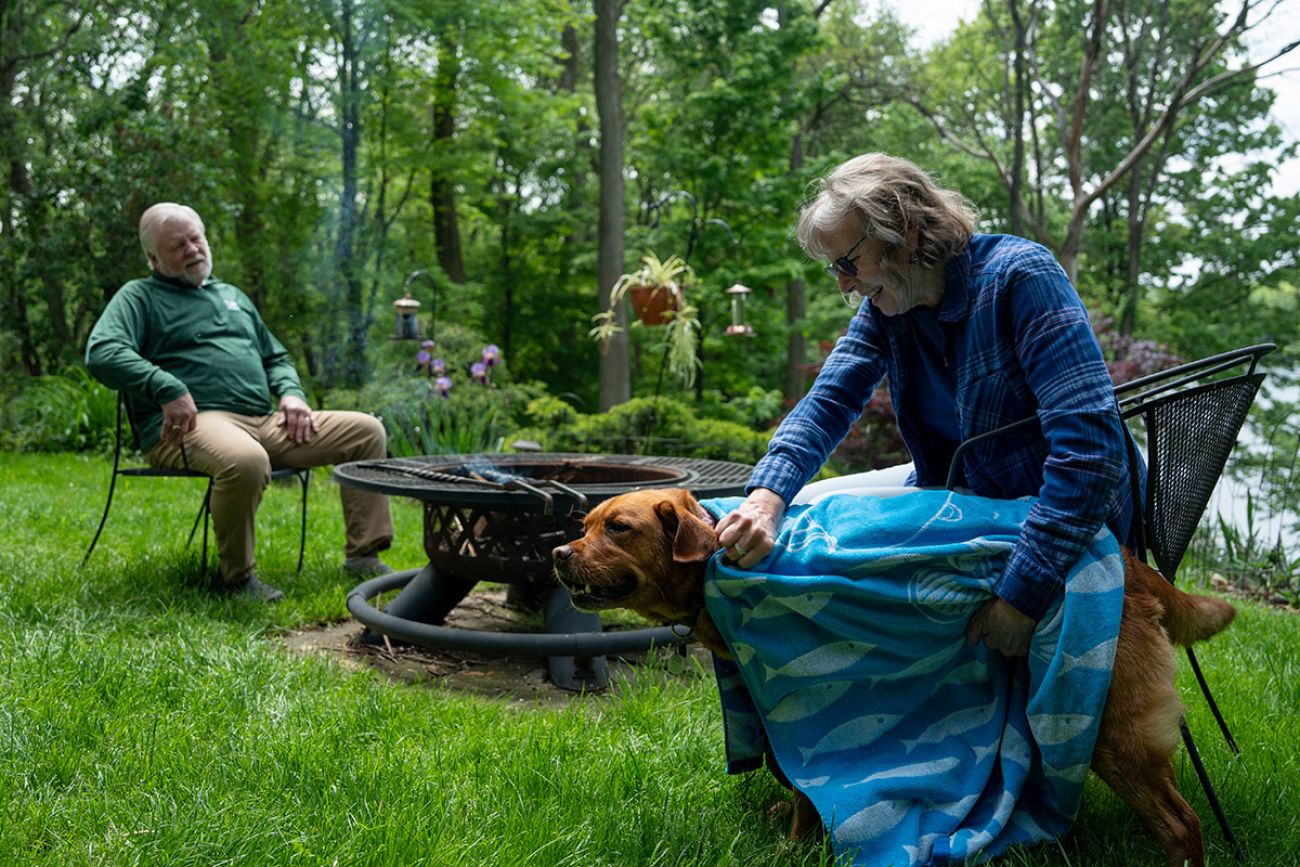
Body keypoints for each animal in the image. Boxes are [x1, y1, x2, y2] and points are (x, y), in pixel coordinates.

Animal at [551, 488, 1237, 867]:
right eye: (583, 527)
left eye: (618, 528)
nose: (556, 553)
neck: (720, 565)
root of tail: (1132, 563)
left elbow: (806, 791)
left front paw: (797, 846)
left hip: (1108, 727)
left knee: (1183, 823)